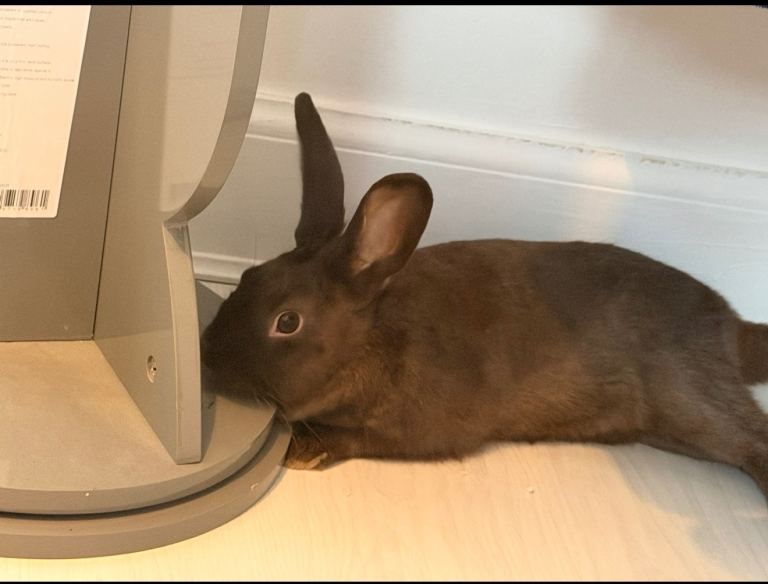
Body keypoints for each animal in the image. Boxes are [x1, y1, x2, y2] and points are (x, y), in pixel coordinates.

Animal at [201, 92, 768, 500]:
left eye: (287, 321)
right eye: (247, 277)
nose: (207, 357)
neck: (375, 340)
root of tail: (730, 324)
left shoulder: (420, 430)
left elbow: (362, 438)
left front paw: (302, 451)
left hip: (689, 400)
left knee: (750, 436)